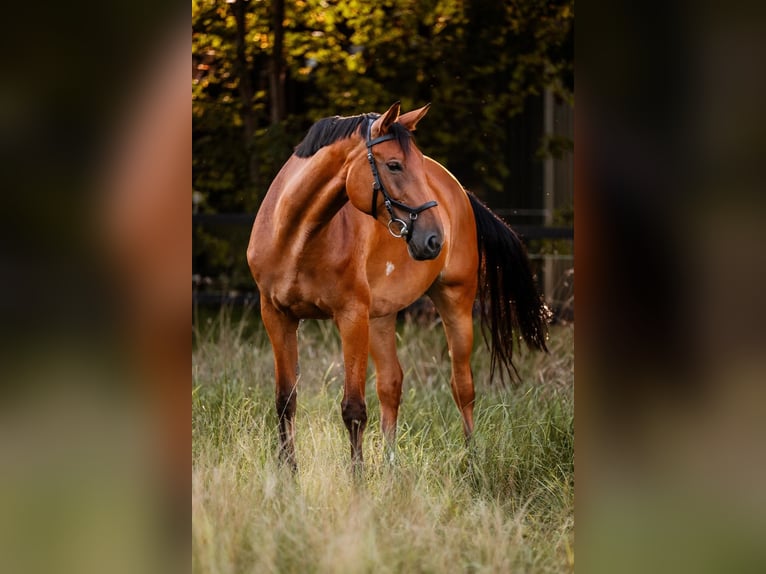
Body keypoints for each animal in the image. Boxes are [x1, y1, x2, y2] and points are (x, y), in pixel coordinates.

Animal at [248, 102, 552, 472]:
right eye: (394, 165)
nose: (435, 239)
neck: (296, 237)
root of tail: (459, 191)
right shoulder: (276, 316)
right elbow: (285, 400)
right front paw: (288, 475)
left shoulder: (351, 317)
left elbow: (353, 409)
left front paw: (357, 479)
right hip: (381, 317)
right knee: (391, 385)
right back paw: (390, 467)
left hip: (455, 303)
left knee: (462, 387)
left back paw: (471, 463)